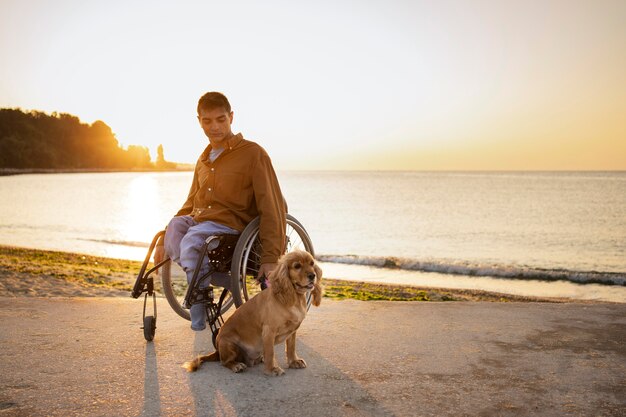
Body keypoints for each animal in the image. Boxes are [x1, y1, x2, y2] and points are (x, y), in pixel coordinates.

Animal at [182, 249, 322, 376]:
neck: (293, 298)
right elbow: (270, 352)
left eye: (312, 263)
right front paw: (272, 369)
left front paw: (294, 362)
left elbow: (291, 347)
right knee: (224, 362)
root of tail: (217, 350)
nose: (312, 275)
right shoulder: (269, 330)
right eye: (297, 266)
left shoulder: (292, 330)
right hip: (228, 344)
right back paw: (236, 365)